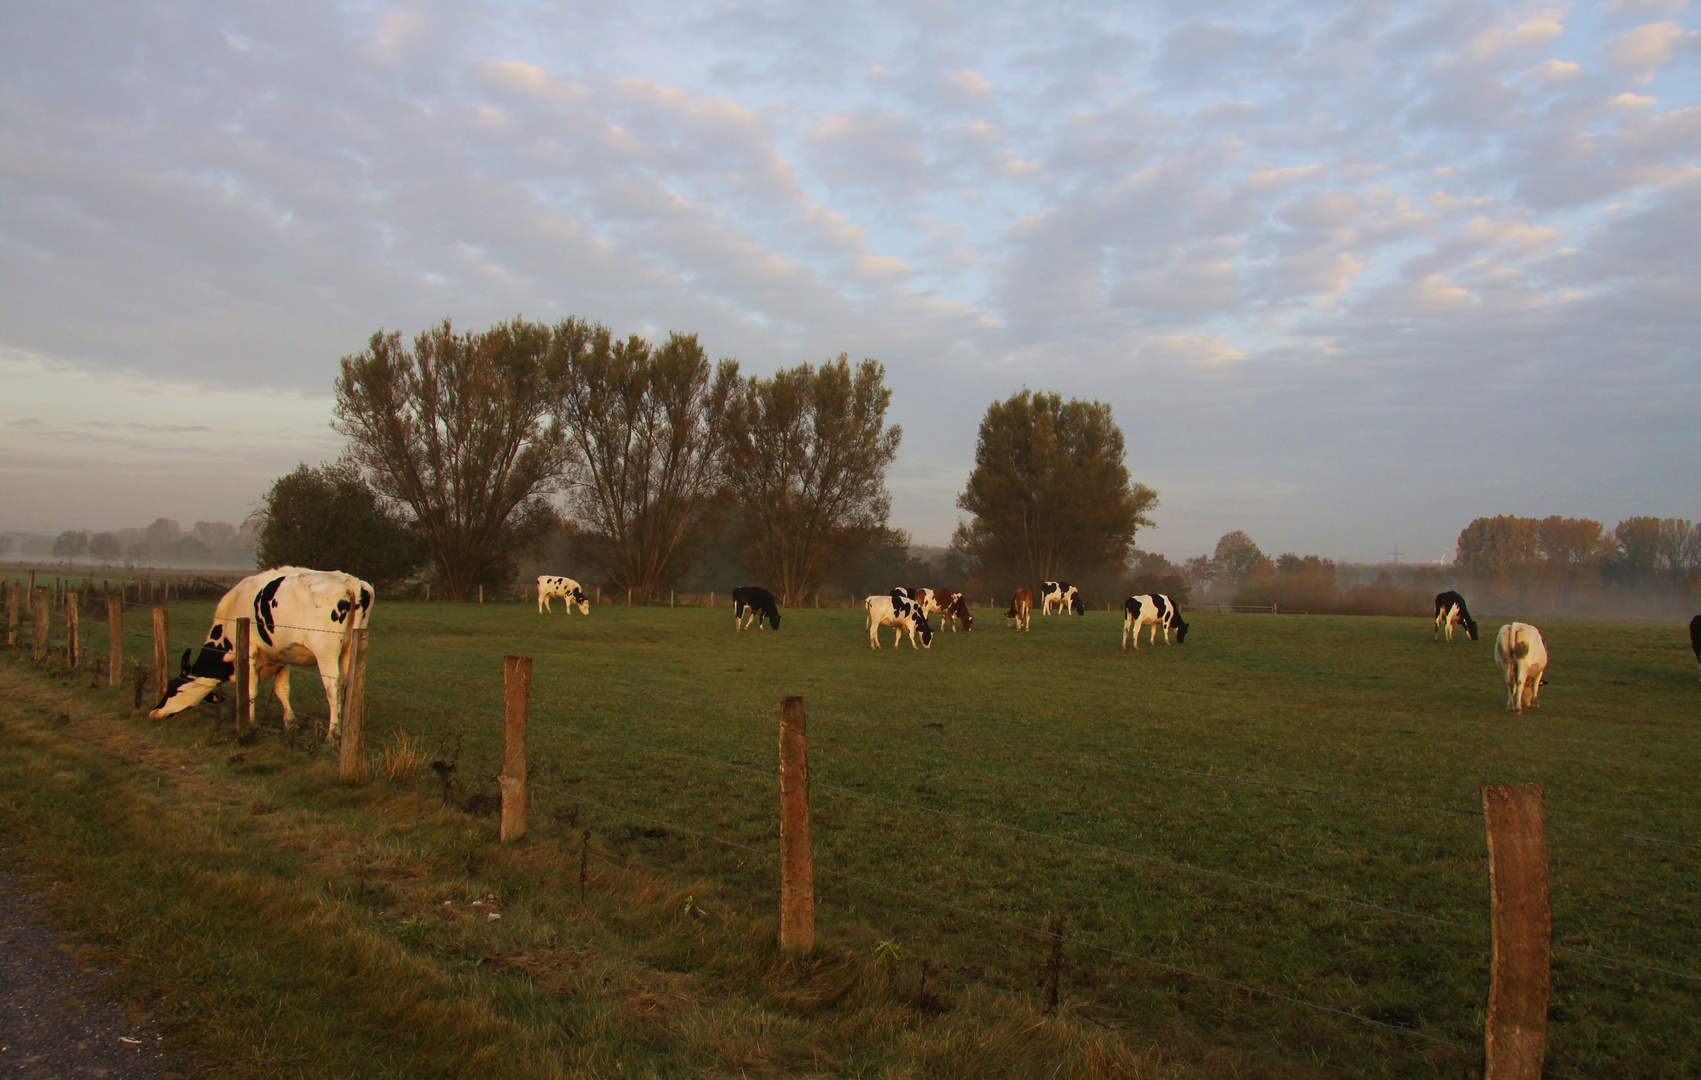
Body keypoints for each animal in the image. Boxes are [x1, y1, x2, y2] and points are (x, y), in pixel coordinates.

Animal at [151, 564, 374, 744]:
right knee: (349, 684)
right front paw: (290, 724)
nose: (154, 712)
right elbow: (282, 689)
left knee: (332, 686)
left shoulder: (249, 649)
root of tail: (349, 580)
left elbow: (250, 688)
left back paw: (333, 734)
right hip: (349, 649)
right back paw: (347, 729)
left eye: (173, 690)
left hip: (325, 651)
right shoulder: (282, 655)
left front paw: (247, 722)